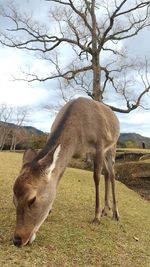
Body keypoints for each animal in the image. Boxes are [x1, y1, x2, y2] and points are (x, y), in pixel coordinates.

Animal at [12, 97, 120, 248]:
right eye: (14, 200)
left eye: (32, 199)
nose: (17, 240)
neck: (78, 140)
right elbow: (58, 176)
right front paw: (50, 210)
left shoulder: (99, 146)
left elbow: (96, 177)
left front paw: (96, 217)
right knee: (107, 174)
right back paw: (106, 209)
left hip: (112, 147)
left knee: (112, 174)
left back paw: (115, 213)